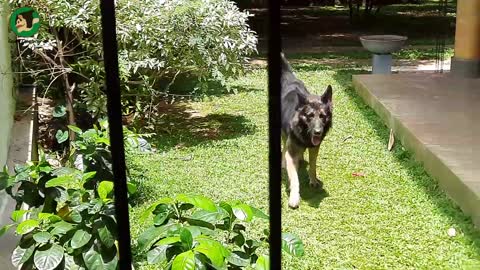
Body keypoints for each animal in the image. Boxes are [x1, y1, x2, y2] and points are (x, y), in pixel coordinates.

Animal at [280, 52, 332, 209]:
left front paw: (313, 180)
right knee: (284, 145)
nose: (318, 132)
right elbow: (295, 178)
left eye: (323, 116)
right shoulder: (292, 152)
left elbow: (313, 166)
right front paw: (294, 196)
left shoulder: (314, 148)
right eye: (310, 116)